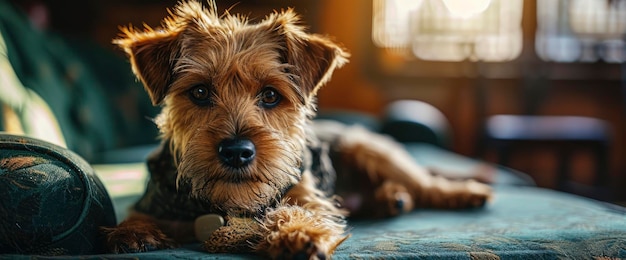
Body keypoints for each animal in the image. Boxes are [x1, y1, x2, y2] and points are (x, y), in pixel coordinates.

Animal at [103, 1, 492, 258]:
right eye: (199, 92)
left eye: (271, 95)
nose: (237, 151)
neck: (226, 205)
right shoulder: (153, 203)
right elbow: (137, 217)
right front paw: (131, 233)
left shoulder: (308, 195)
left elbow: (300, 210)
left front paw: (297, 232)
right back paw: (390, 199)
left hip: (368, 147)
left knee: (426, 183)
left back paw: (462, 193)